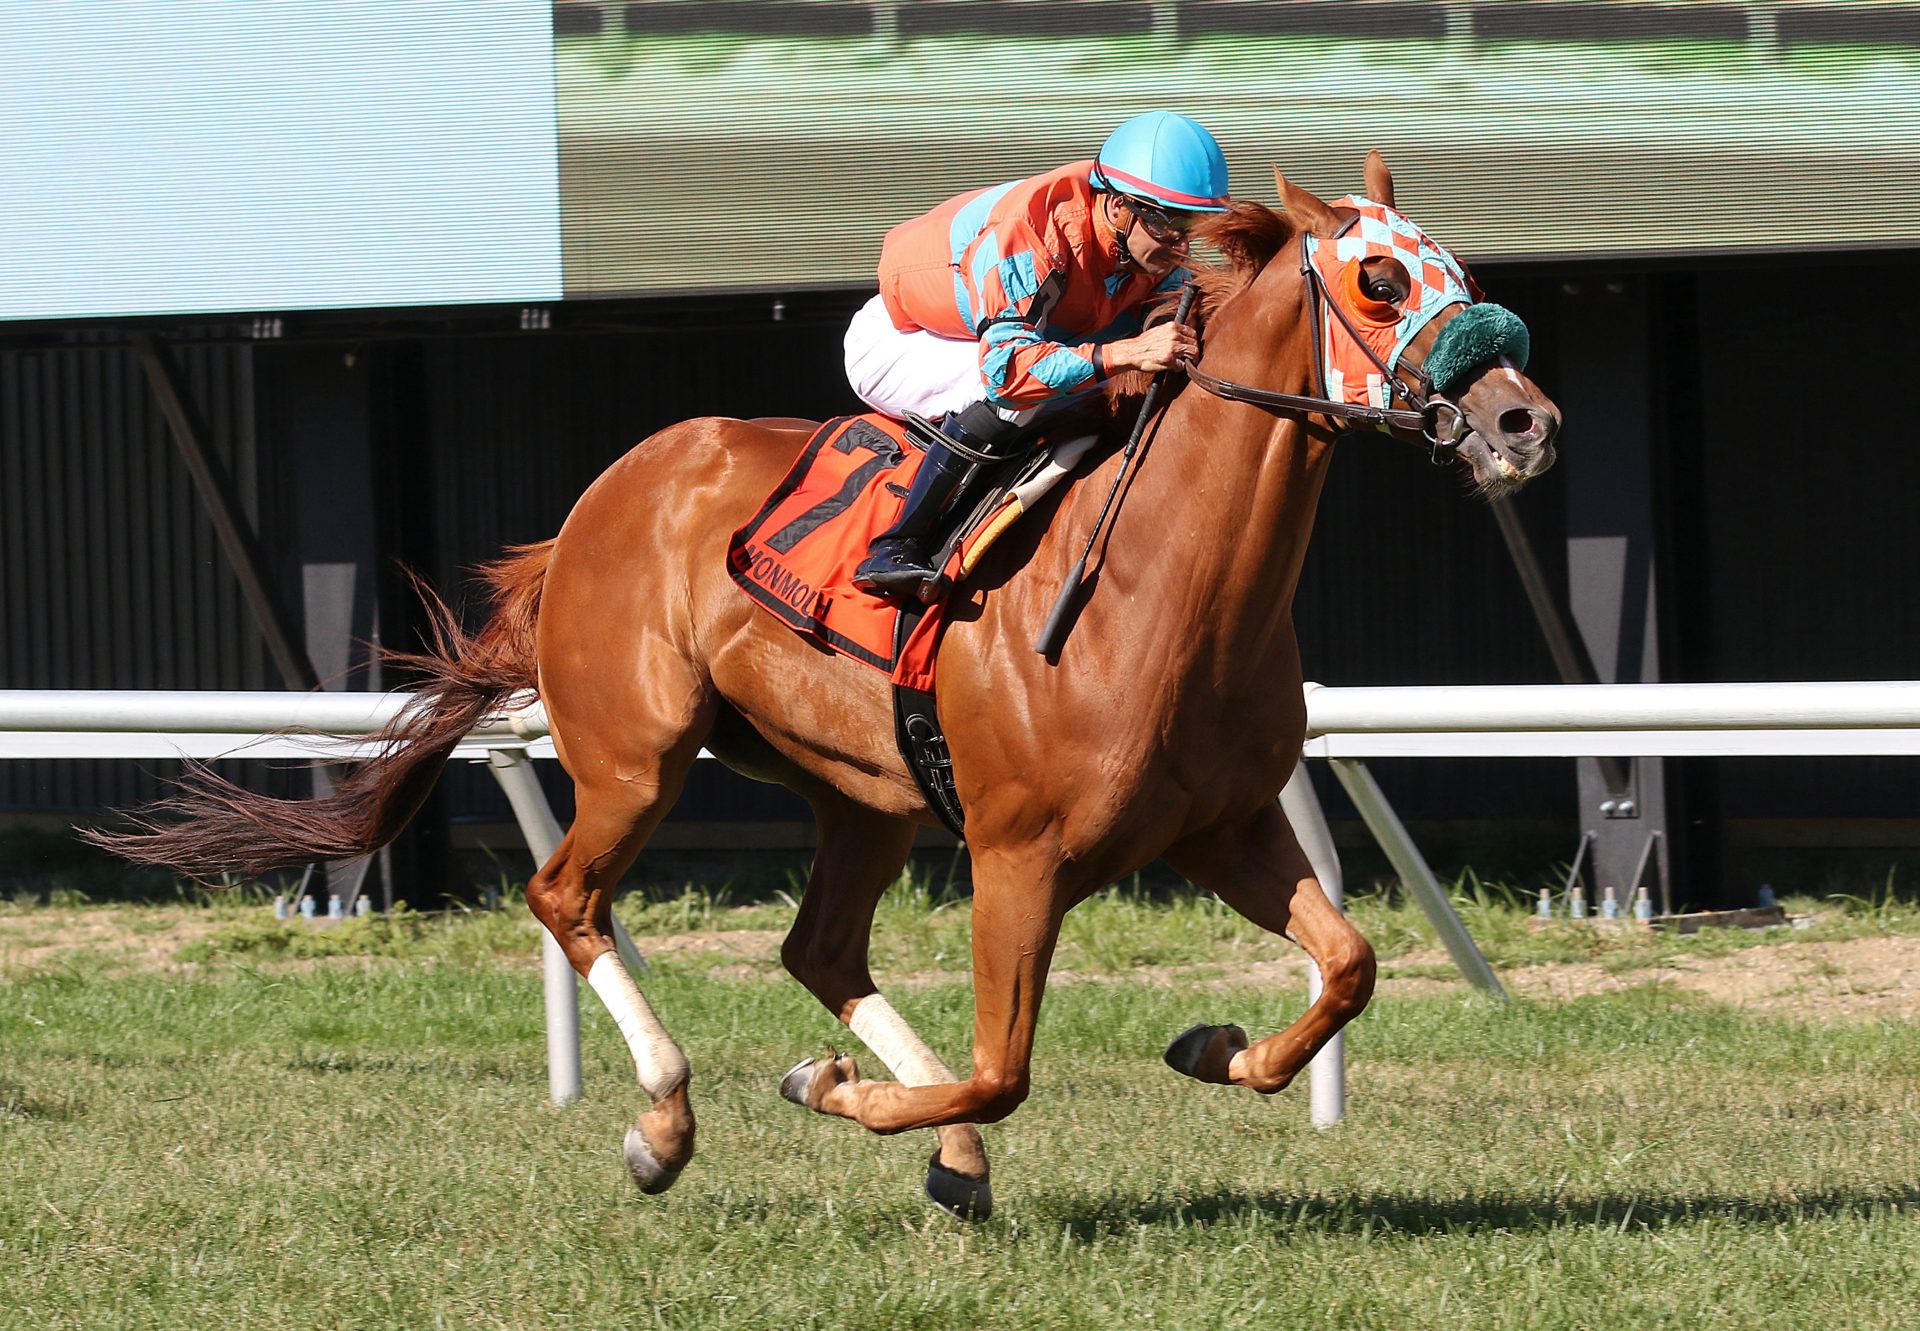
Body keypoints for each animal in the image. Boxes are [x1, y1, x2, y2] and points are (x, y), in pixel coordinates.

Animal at [101, 155, 1559, 1213]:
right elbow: (1001, 1067)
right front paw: (830, 1092)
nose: (1525, 420)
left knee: (818, 944)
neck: (1159, 586)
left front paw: (1217, 1048)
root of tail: (597, 503)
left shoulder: (1225, 826)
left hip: (866, 792)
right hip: (636, 753)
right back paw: (665, 1121)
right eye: (1378, 276)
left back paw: (930, 1150)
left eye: (1464, 270)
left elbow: (1350, 965)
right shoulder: (1021, 855)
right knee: (568, 895)